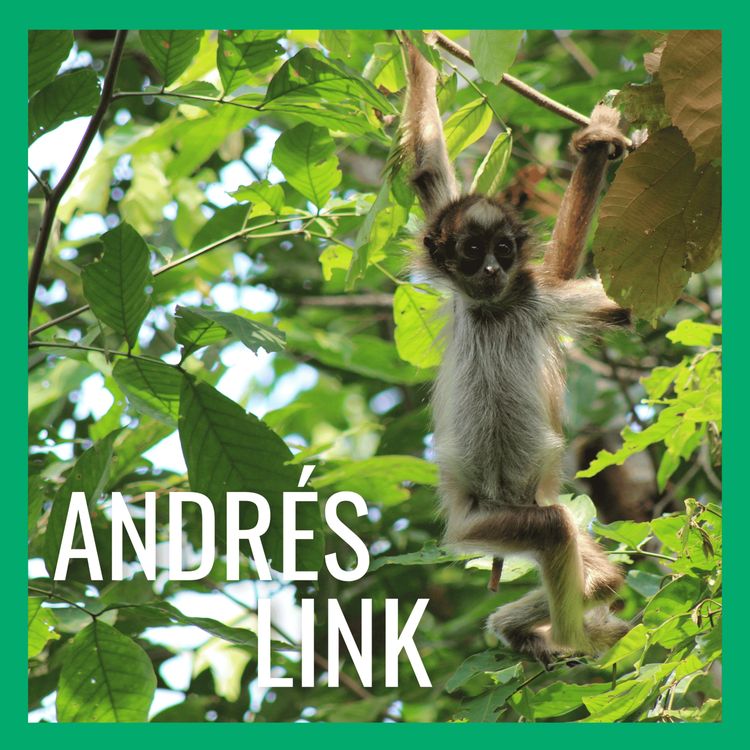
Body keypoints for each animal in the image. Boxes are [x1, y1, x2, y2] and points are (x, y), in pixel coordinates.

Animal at [401, 41, 631, 665]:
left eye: (503, 249)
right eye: (471, 249)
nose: (489, 269)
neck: (494, 307)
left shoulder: (538, 296)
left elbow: (628, 302)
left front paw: (596, 143)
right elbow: (428, 166)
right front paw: (412, 42)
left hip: (512, 516)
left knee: (581, 557)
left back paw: (548, 634)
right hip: (479, 525)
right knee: (560, 536)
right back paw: (538, 633)